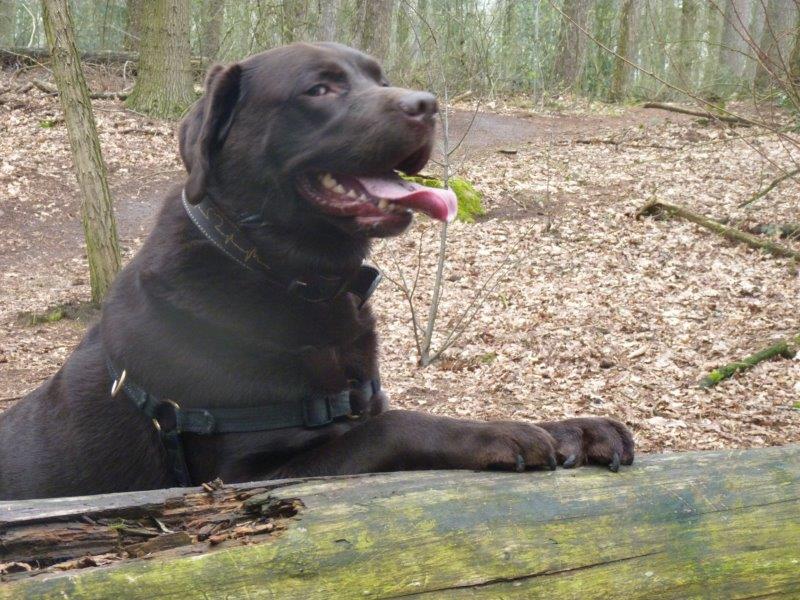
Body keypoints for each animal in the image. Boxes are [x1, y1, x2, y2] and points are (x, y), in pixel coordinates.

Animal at [1, 44, 632, 500]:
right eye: (320, 89)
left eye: (380, 78)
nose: (427, 104)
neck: (301, 284)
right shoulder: (244, 477)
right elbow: (396, 425)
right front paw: (500, 432)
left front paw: (574, 428)